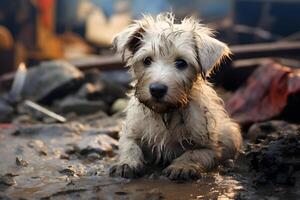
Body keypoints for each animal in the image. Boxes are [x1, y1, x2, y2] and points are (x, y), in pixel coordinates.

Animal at [109, 13, 243, 180]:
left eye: (181, 63)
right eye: (147, 60)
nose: (157, 89)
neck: (166, 113)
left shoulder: (210, 147)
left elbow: (193, 153)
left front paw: (182, 166)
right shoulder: (131, 130)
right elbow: (130, 146)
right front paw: (127, 163)